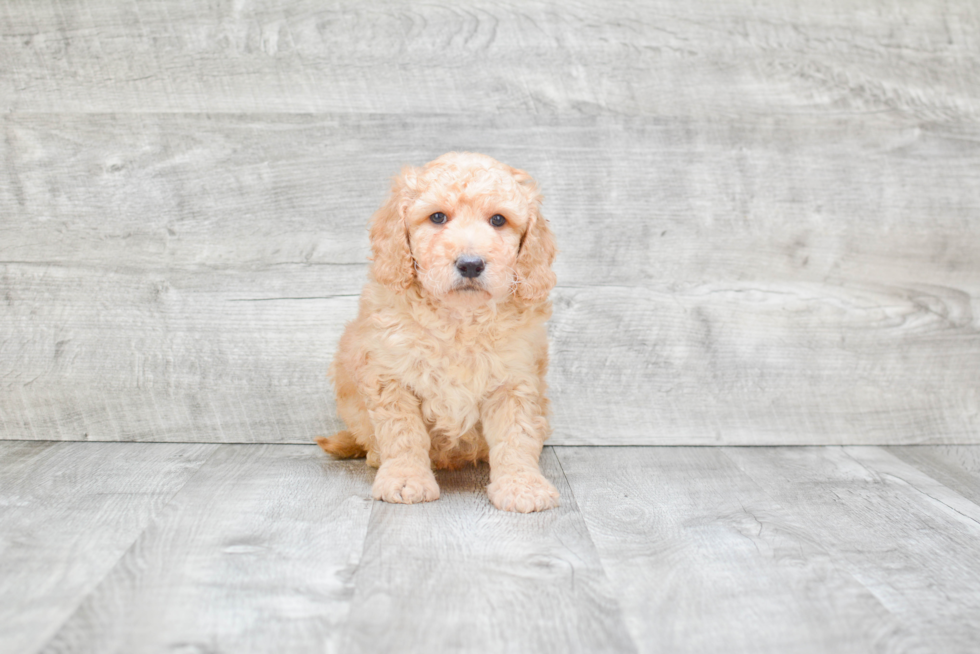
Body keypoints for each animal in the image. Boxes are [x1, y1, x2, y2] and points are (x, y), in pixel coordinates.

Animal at [320, 152, 560, 512]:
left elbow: (515, 435)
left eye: (498, 220)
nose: (471, 264)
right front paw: (406, 479)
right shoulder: (391, 377)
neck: (459, 318)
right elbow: (403, 434)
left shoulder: (515, 381)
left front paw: (522, 485)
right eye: (437, 217)